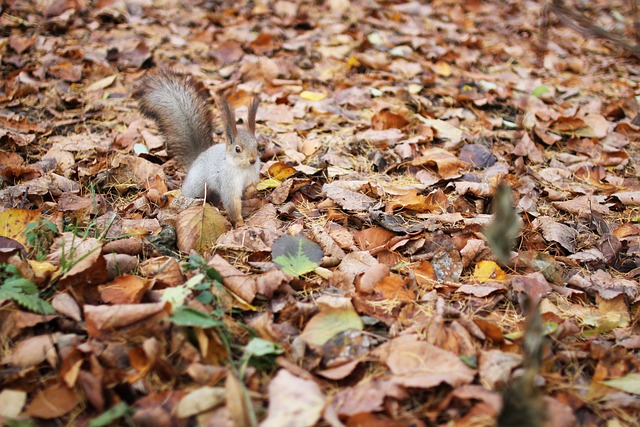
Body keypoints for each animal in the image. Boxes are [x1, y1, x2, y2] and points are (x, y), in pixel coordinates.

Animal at [134, 70, 262, 227]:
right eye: (237, 149)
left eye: (257, 146)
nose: (252, 160)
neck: (242, 168)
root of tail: (197, 159)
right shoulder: (228, 182)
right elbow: (231, 203)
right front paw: (240, 223)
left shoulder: (253, 175)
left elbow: (253, 186)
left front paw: (250, 192)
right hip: (195, 186)